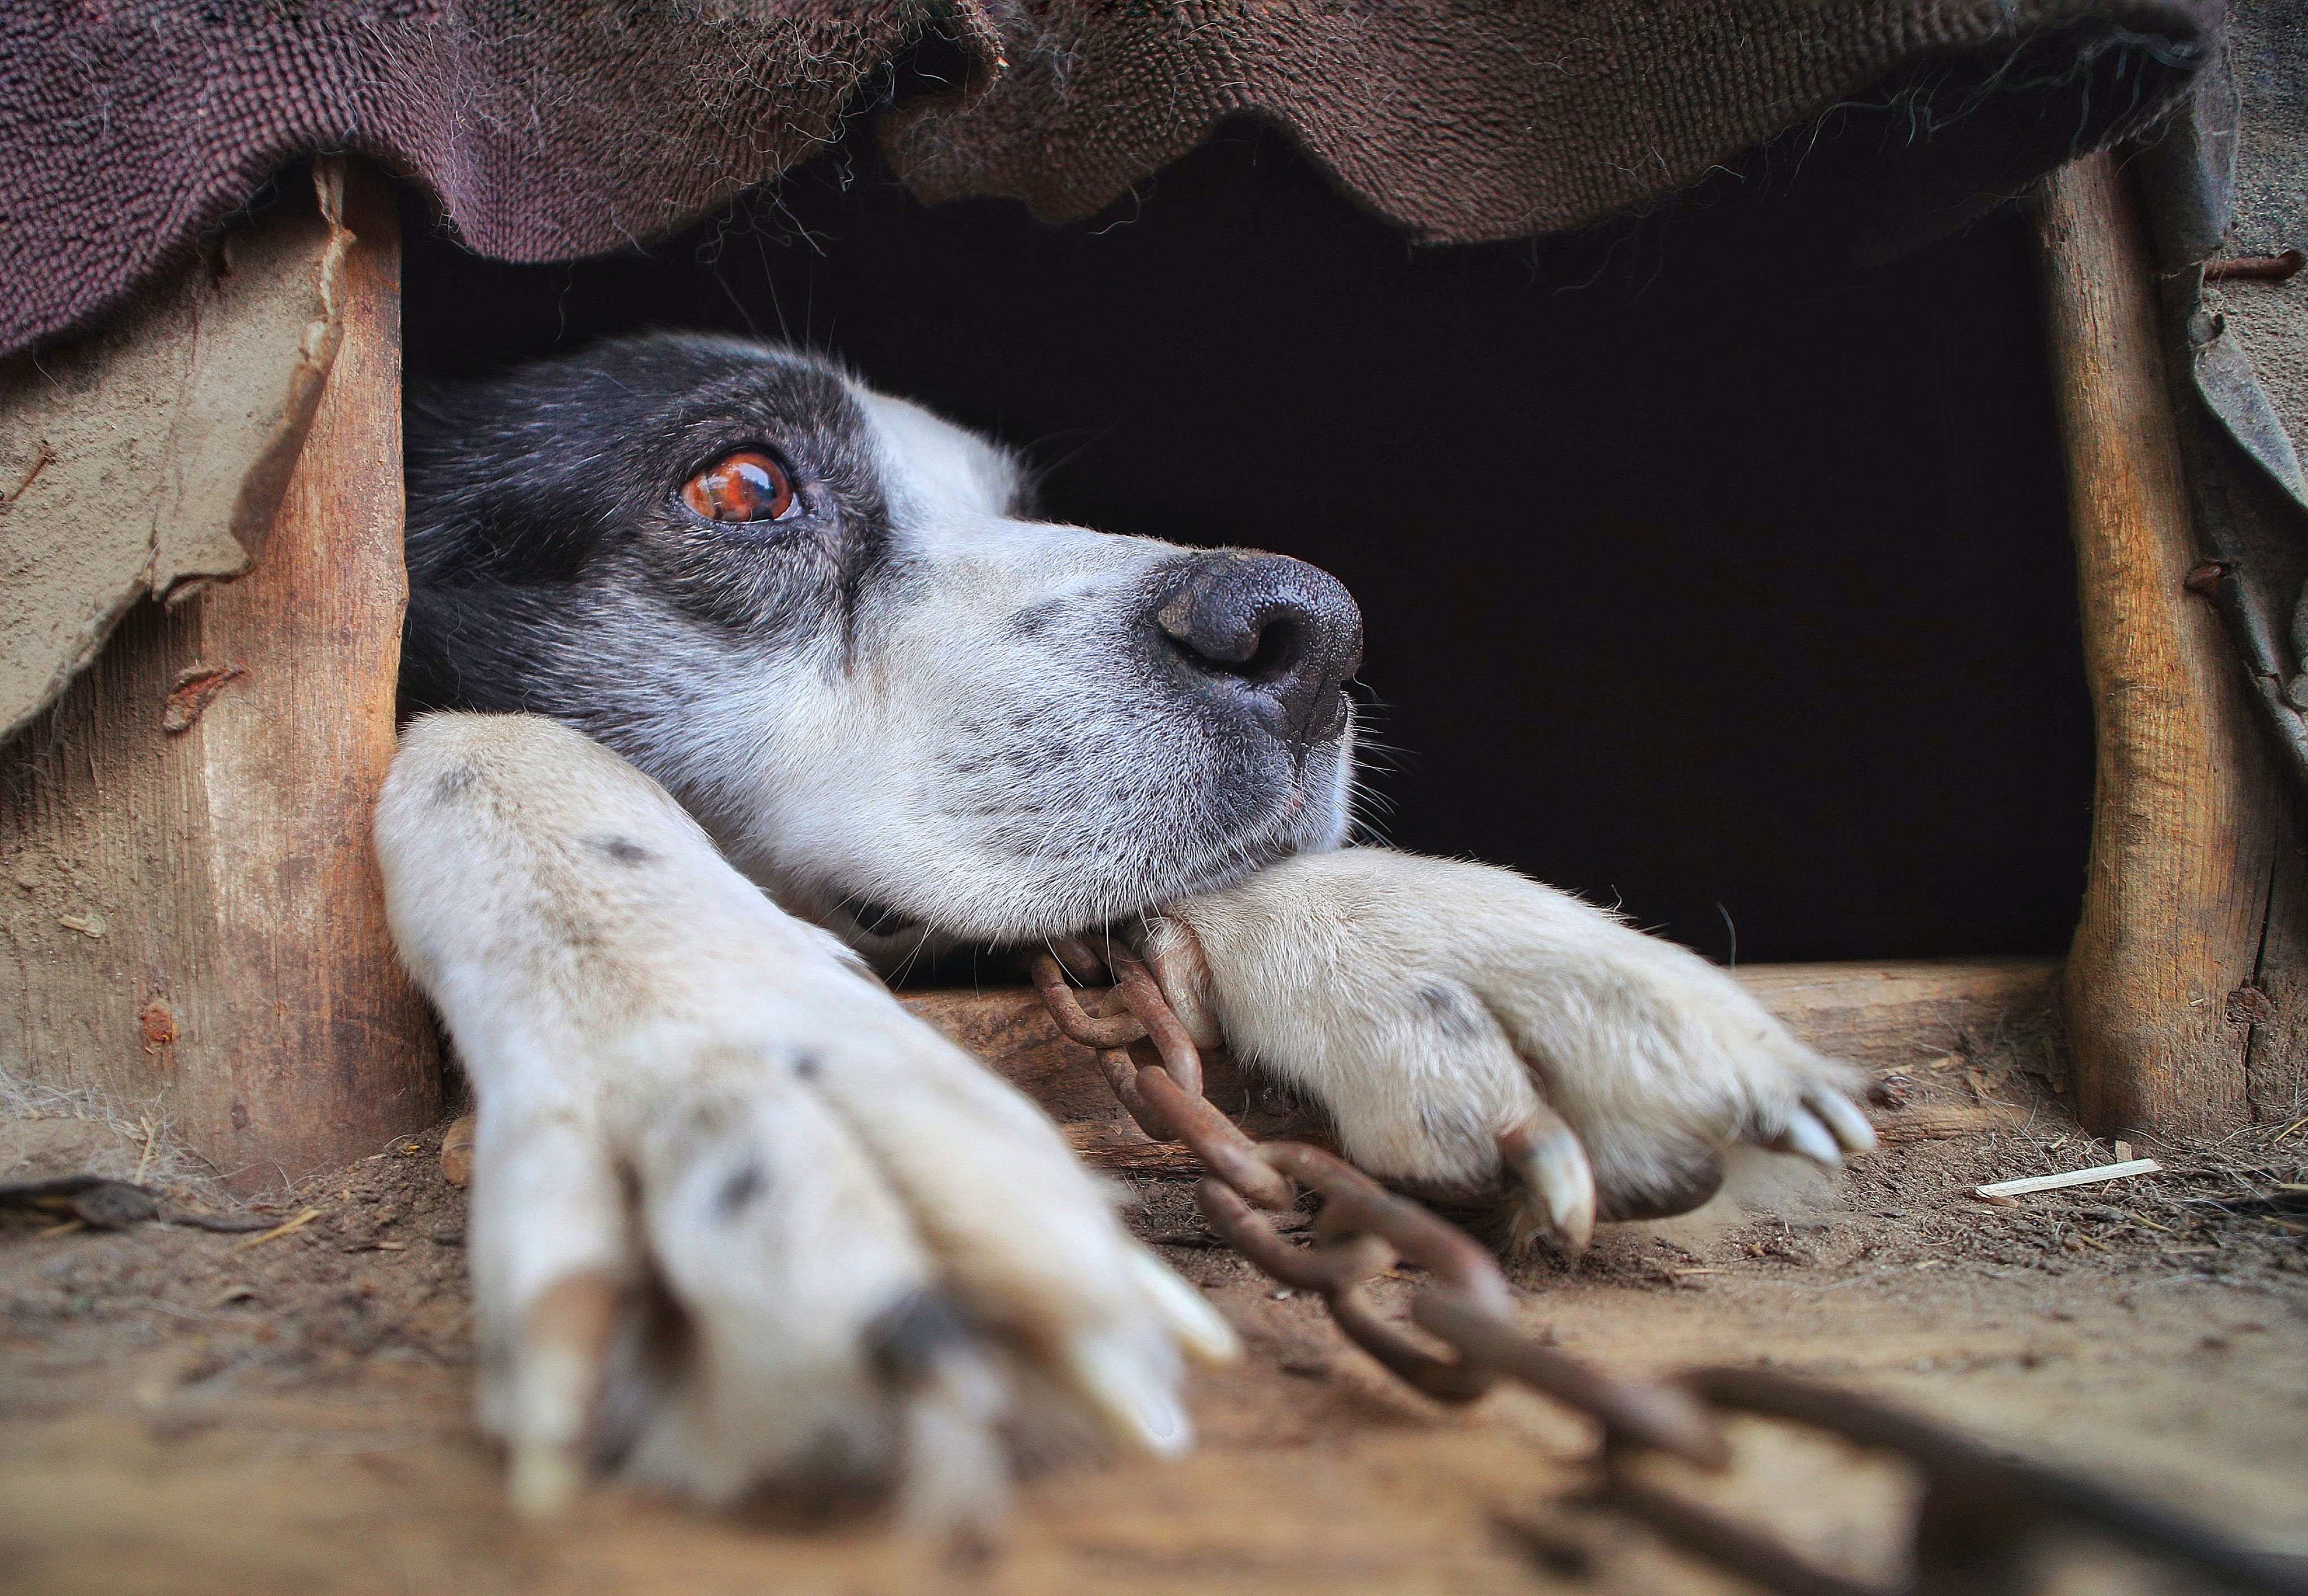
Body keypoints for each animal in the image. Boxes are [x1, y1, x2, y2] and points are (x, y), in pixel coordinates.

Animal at [364, 334, 1874, 1531]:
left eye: (1017, 506)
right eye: (743, 486)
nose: (1308, 633)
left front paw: (1443, 946)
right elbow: (489, 744)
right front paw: (737, 1073)